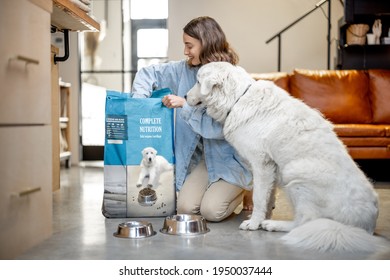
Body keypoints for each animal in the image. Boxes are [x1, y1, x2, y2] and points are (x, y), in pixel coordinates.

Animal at [187, 61, 388, 252]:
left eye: (198, 81)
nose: (186, 97)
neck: (238, 98)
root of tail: (365, 227)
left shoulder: (261, 164)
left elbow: (259, 197)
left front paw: (253, 223)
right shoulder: (271, 168)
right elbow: (268, 198)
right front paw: (261, 218)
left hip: (293, 172)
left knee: (304, 222)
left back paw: (275, 225)